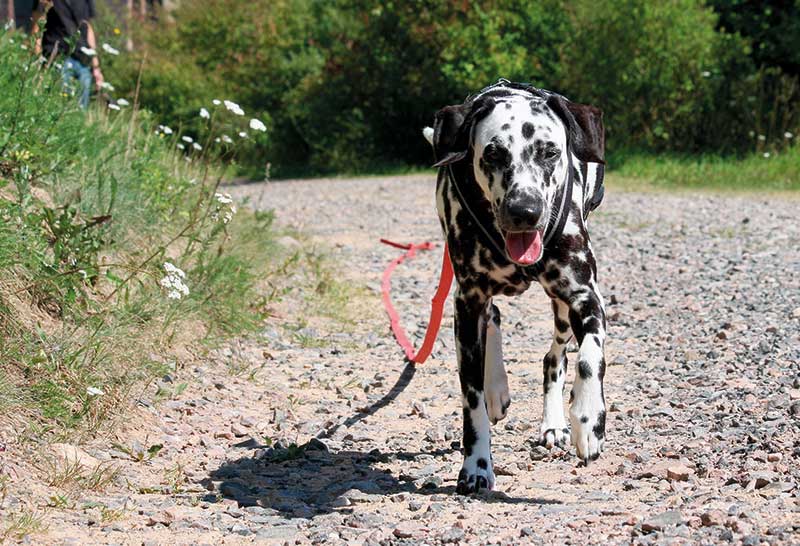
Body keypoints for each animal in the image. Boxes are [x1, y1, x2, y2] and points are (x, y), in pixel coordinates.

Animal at [424, 81, 608, 492]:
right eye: (493, 153)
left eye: (550, 152)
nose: (524, 211)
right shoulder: (467, 303)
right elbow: (471, 398)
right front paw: (476, 465)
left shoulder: (584, 296)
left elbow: (591, 356)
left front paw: (588, 419)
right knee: (493, 317)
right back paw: (497, 388)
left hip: (561, 308)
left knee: (555, 357)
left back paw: (555, 421)